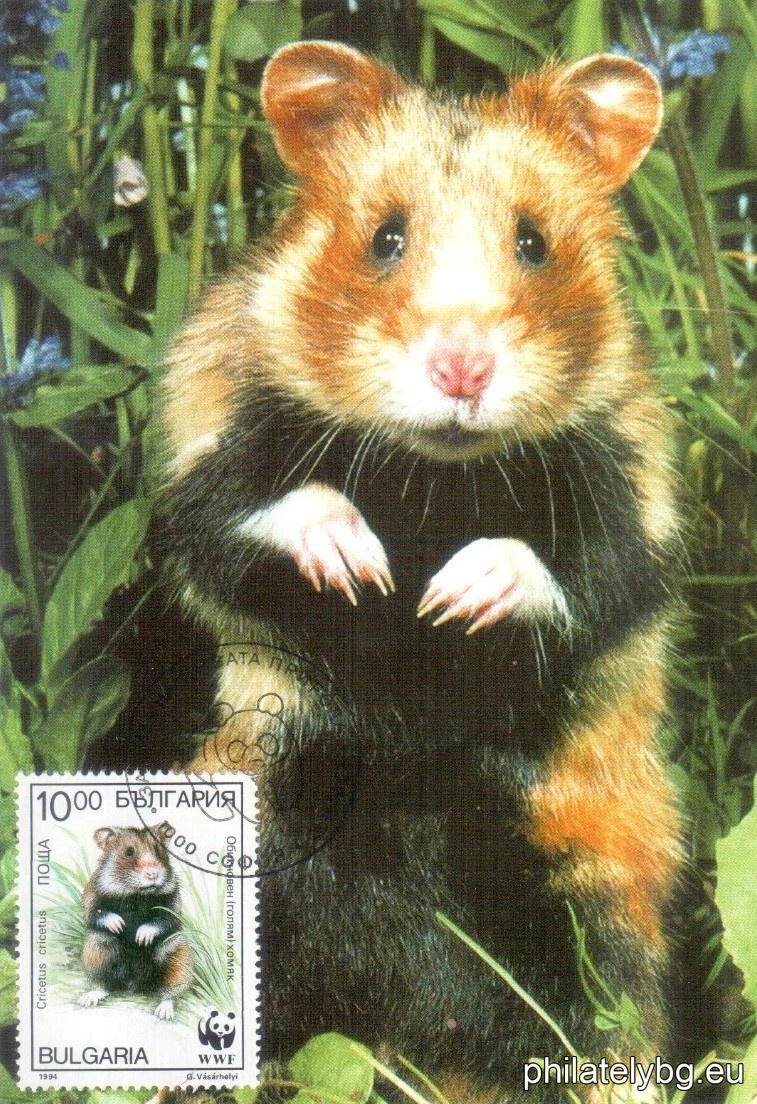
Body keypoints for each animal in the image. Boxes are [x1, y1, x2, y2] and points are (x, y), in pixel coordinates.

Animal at [78, 824, 191, 1020]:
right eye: (129, 852)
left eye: (158, 850)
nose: (153, 874)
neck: (137, 894)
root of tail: (133, 985)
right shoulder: (91, 896)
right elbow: (96, 913)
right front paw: (119, 925)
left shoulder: (173, 904)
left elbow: (163, 919)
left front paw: (141, 938)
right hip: (97, 948)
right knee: (103, 984)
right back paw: (88, 998)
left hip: (176, 957)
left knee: (170, 991)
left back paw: (164, 1012)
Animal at [159, 42, 681, 1102]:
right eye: (385, 239)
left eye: (533, 243)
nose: (462, 370)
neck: (433, 479)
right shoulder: (211, 460)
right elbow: (256, 514)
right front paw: (361, 569)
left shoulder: (628, 507)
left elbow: (576, 572)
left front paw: (451, 595)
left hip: (589, 901)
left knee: (597, 1021)